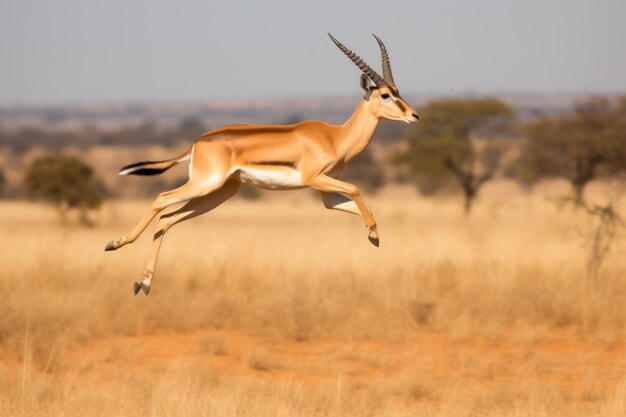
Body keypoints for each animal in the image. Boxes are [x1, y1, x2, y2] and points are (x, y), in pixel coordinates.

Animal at [105, 34, 416, 294]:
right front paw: (373, 235)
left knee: (167, 219)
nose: (414, 115)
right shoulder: (315, 178)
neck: (335, 137)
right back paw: (115, 243)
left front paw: (373, 235)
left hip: (219, 193)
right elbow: (355, 188)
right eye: (385, 95)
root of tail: (198, 141)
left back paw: (144, 283)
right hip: (205, 185)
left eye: (398, 90)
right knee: (161, 199)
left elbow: (358, 203)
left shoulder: (327, 194)